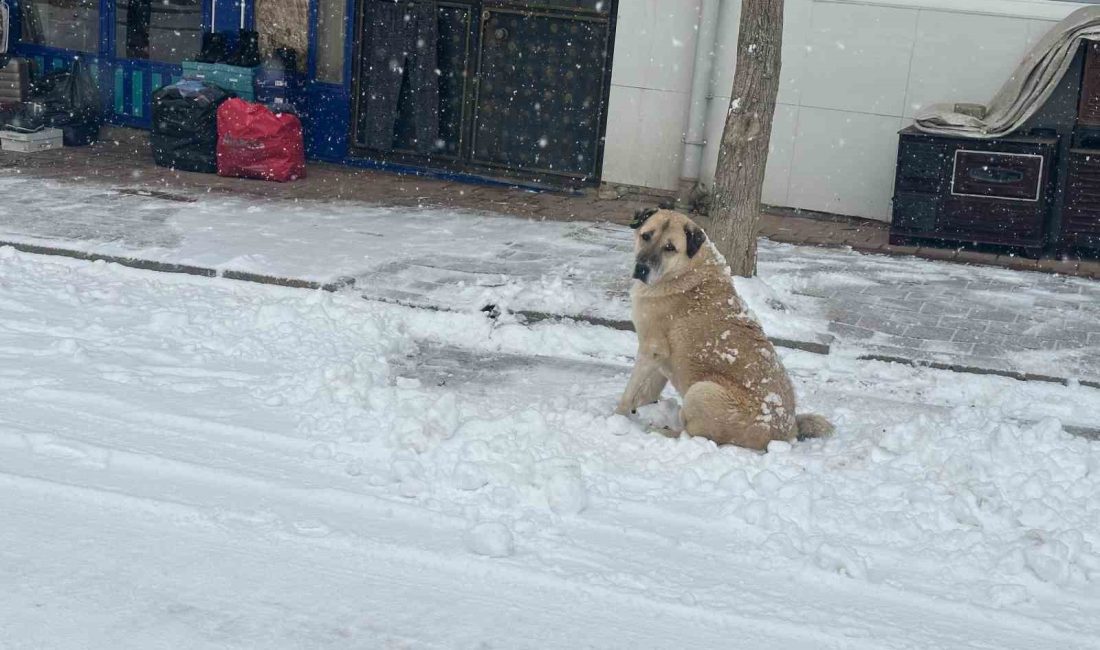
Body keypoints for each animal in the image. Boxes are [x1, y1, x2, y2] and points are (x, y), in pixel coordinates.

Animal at [620, 210, 831, 453]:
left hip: (701, 391)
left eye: (670, 247)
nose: (641, 268)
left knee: (694, 436)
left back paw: (660, 431)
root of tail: (787, 433)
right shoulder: (660, 359)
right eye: (646, 236)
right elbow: (646, 391)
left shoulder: (651, 348)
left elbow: (630, 391)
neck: (686, 269)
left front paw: (617, 415)